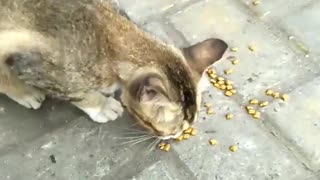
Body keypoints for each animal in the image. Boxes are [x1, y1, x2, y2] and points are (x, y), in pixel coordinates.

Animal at [0, 0, 228, 139]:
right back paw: (24, 93)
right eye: (155, 126)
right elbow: (79, 93)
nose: (176, 136)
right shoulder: (42, 68)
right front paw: (102, 106)